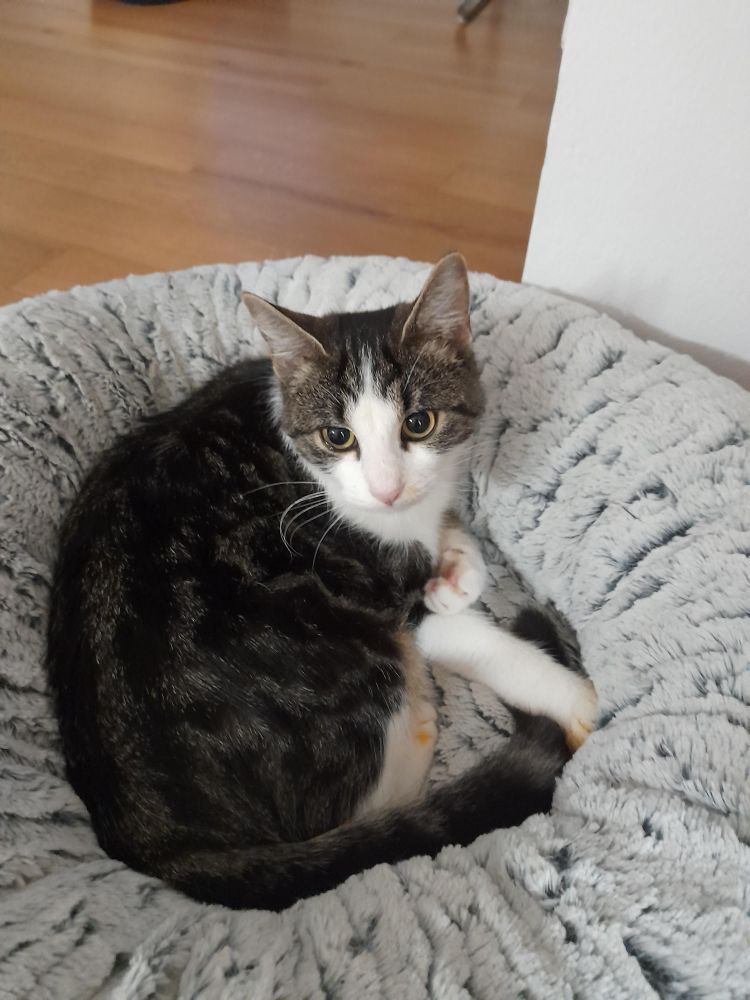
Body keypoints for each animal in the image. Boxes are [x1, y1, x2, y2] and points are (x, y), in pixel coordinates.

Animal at [46, 253, 597, 912]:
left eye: (420, 423)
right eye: (339, 437)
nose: (387, 488)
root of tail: (157, 843)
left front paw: (457, 564)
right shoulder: (369, 576)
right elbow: (466, 636)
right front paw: (576, 698)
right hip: (335, 643)